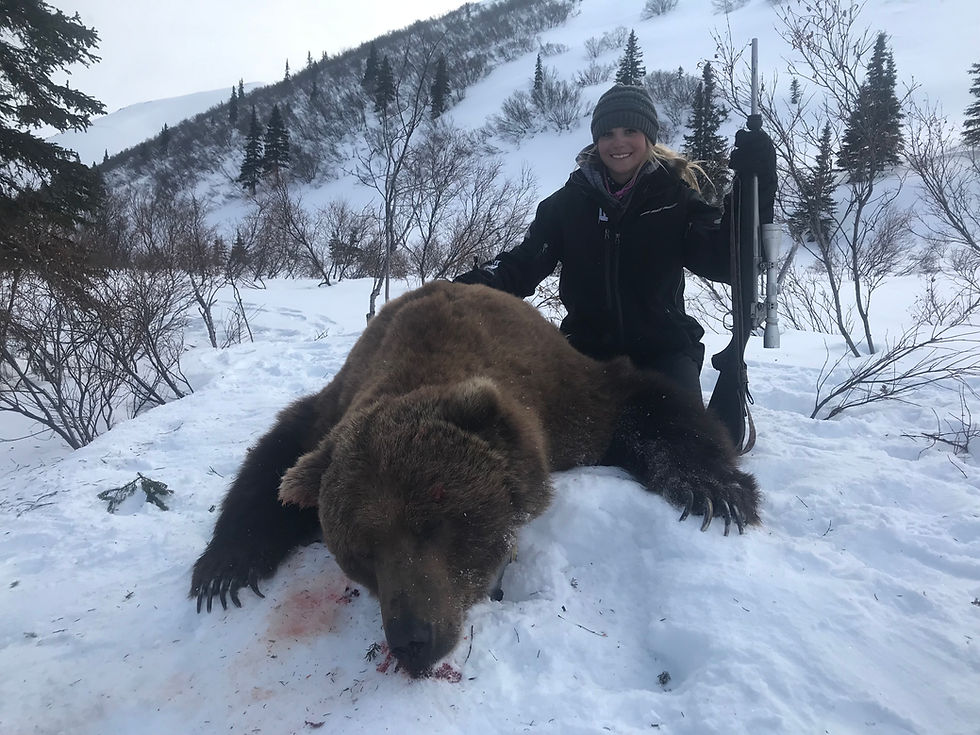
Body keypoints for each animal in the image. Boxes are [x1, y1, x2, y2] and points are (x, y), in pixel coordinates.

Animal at [190, 281, 760, 677]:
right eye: (361, 552)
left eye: (436, 524)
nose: (412, 637)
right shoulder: (328, 416)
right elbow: (272, 462)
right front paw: (223, 569)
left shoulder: (569, 401)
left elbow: (647, 404)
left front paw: (716, 491)